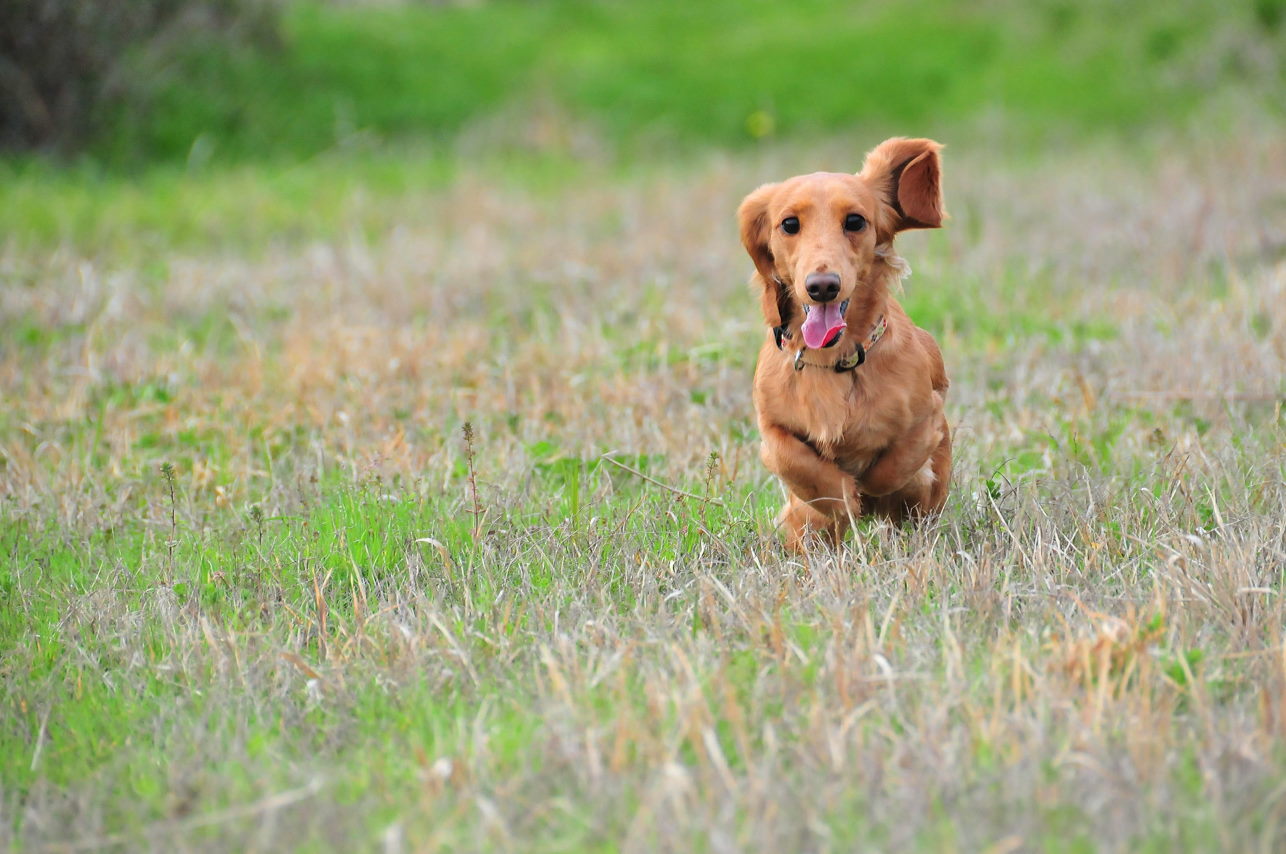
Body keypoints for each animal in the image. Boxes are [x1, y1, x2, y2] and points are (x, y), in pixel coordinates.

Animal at [740, 133, 951, 547]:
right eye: (789, 224)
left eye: (855, 221)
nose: (823, 286)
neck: (832, 361)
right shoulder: (770, 427)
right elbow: (796, 462)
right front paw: (844, 500)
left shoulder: (929, 415)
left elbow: (896, 464)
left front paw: (871, 491)